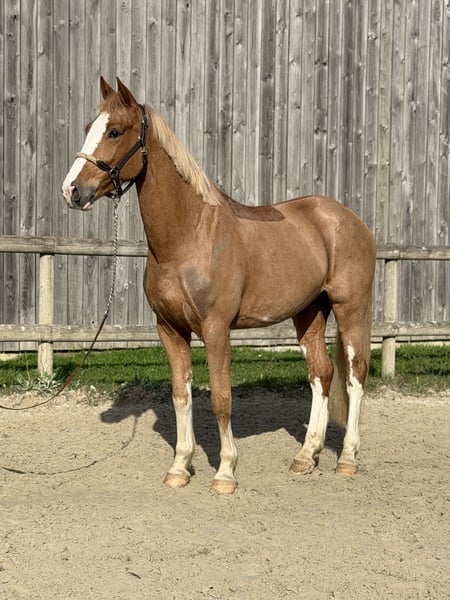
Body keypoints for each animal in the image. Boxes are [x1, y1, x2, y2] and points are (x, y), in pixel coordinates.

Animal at [62, 77, 376, 494]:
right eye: (88, 128)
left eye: (114, 131)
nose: (71, 191)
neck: (189, 237)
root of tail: (347, 219)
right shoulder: (170, 329)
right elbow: (181, 396)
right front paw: (180, 467)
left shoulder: (215, 329)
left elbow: (221, 398)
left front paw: (225, 472)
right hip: (309, 312)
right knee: (321, 375)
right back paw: (306, 456)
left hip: (350, 307)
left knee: (355, 377)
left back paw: (347, 459)